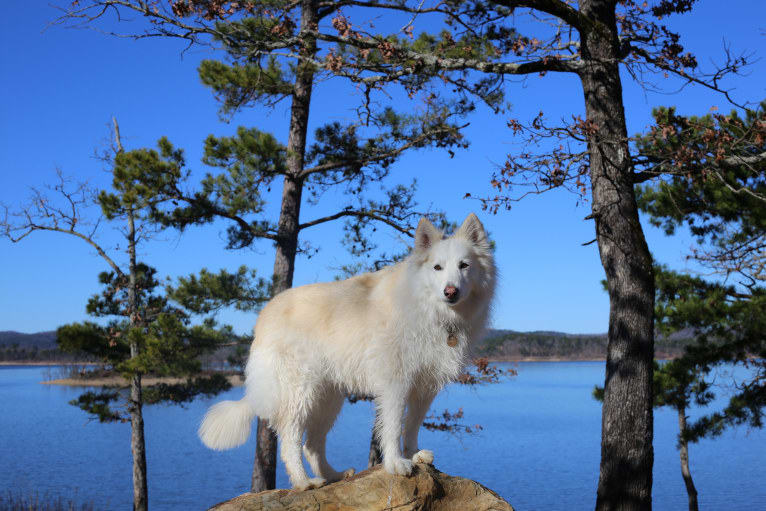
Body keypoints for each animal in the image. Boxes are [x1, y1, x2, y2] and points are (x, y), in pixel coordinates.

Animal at [200, 214, 498, 490]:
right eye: (437, 267)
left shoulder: (424, 387)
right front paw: (396, 463)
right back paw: (304, 482)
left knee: (312, 444)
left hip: (328, 400)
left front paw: (414, 454)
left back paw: (333, 476)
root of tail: (264, 315)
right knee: (290, 441)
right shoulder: (396, 384)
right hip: (300, 394)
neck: (430, 311)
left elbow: (412, 424)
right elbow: (392, 427)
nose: (451, 291)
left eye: (464, 265)